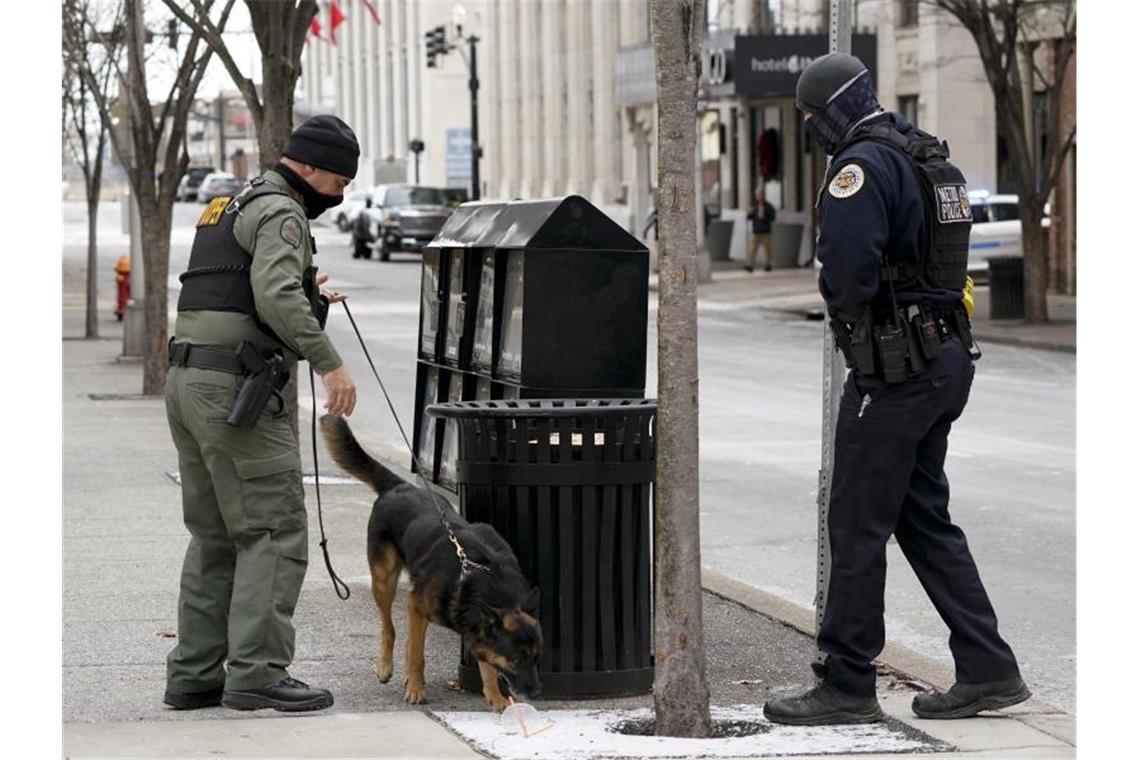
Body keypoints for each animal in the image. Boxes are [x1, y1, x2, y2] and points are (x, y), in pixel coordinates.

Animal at [316, 412, 538, 711]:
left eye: (537, 657)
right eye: (516, 659)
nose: (536, 693)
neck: (478, 576)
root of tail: (400, 485)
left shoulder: (477, 630)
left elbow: (488, 668)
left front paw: (497, 698)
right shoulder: (417, 605)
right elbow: (416, 653)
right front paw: (416, 689)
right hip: (384, 581)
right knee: (390, 629)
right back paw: (386, 666)